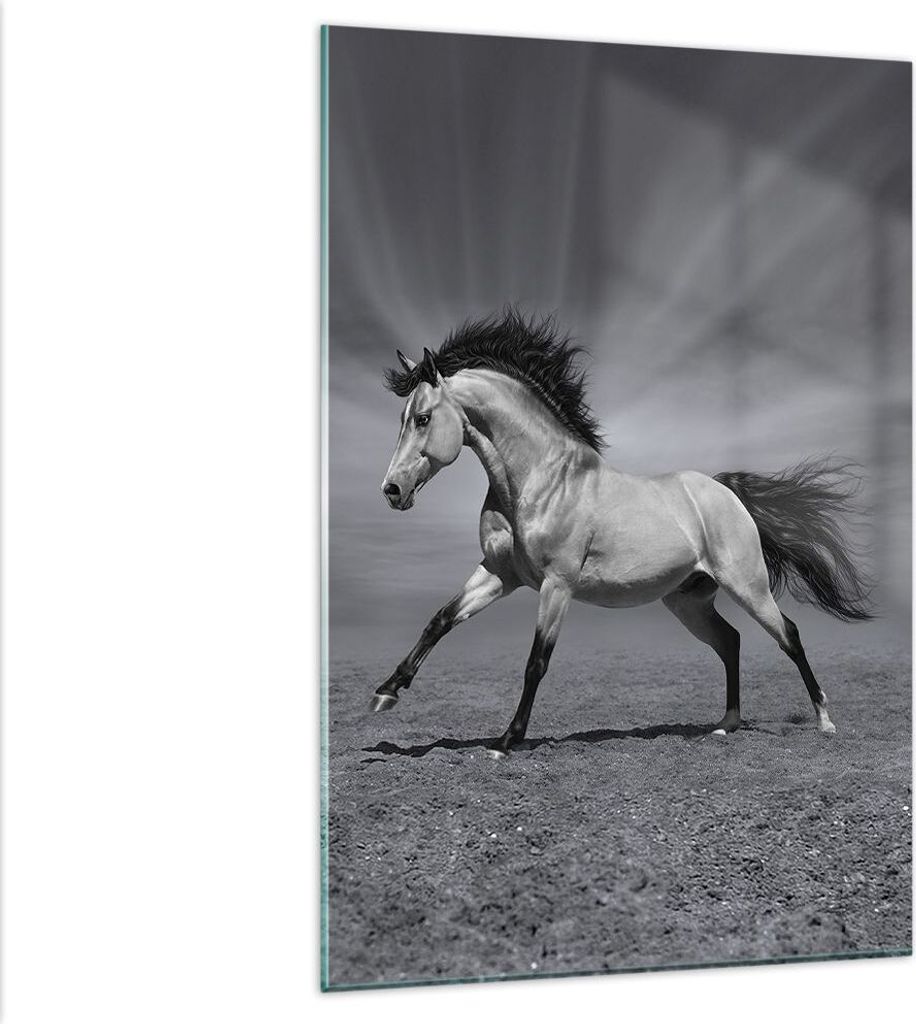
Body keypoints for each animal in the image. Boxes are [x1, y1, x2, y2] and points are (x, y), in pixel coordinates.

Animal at [372, 309, 873, 759]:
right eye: (402, 418)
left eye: (422, 418)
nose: (392, 491)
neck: (539, 480)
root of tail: (726, 492)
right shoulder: (500, 574)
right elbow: (440, 620)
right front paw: (386, 692)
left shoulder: (556, 585)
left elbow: (536, 662)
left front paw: (505, 741)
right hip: (688, 601)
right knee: (730, 641)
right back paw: (724, 726)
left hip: (747, 586)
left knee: (788, 634)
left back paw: (824, 721)